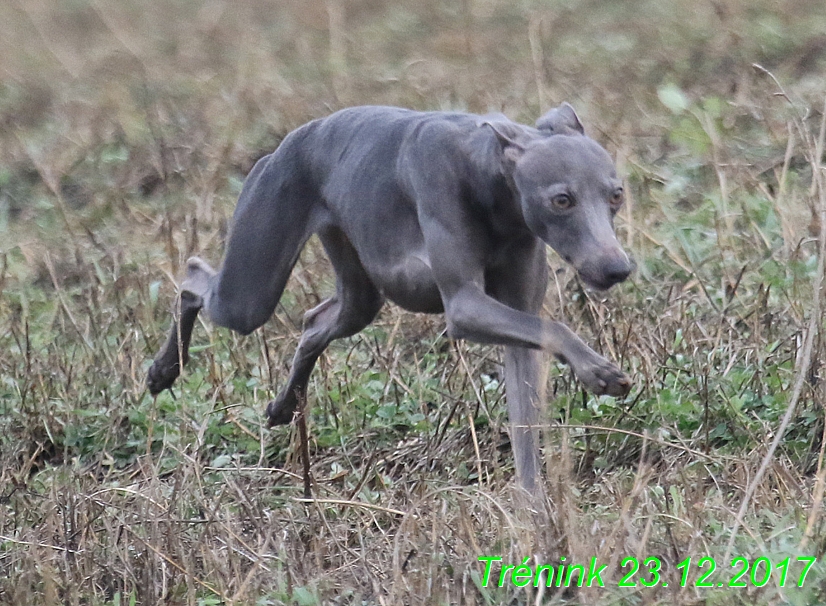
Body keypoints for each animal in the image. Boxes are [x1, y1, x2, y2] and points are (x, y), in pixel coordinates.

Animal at [146, 105, 632, 494]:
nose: (617, 269)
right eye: (562, 199)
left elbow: (527, 423)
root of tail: (287, 143)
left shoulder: (519, 322)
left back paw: (284, 404)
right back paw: (163, 370)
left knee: (316, 320)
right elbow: (552, 327)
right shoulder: (464, 305)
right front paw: (601, 371)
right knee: (193, 279)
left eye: (616, 194)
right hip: (251, 287)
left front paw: (536, 515)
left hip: (357, 290)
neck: (490, 181)